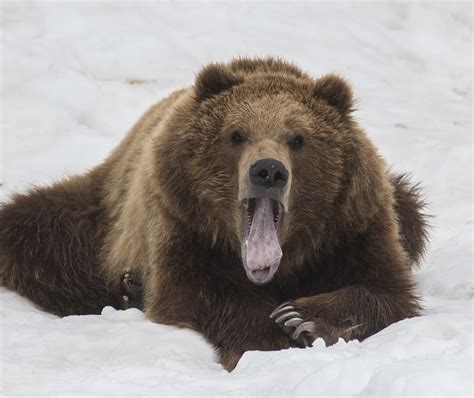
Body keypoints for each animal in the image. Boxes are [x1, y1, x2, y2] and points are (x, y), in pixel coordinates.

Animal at [0, 57, 430, 372]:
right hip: (101, 214)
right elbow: (199, 296)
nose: (268, 170)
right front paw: (270, 337)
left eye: (298, 138)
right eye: (236, 134)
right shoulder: (183, 220)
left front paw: (300, 317)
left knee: (412, 211)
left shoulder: (352, 224)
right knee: (31, 230)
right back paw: (130, 287)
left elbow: (387, 291)